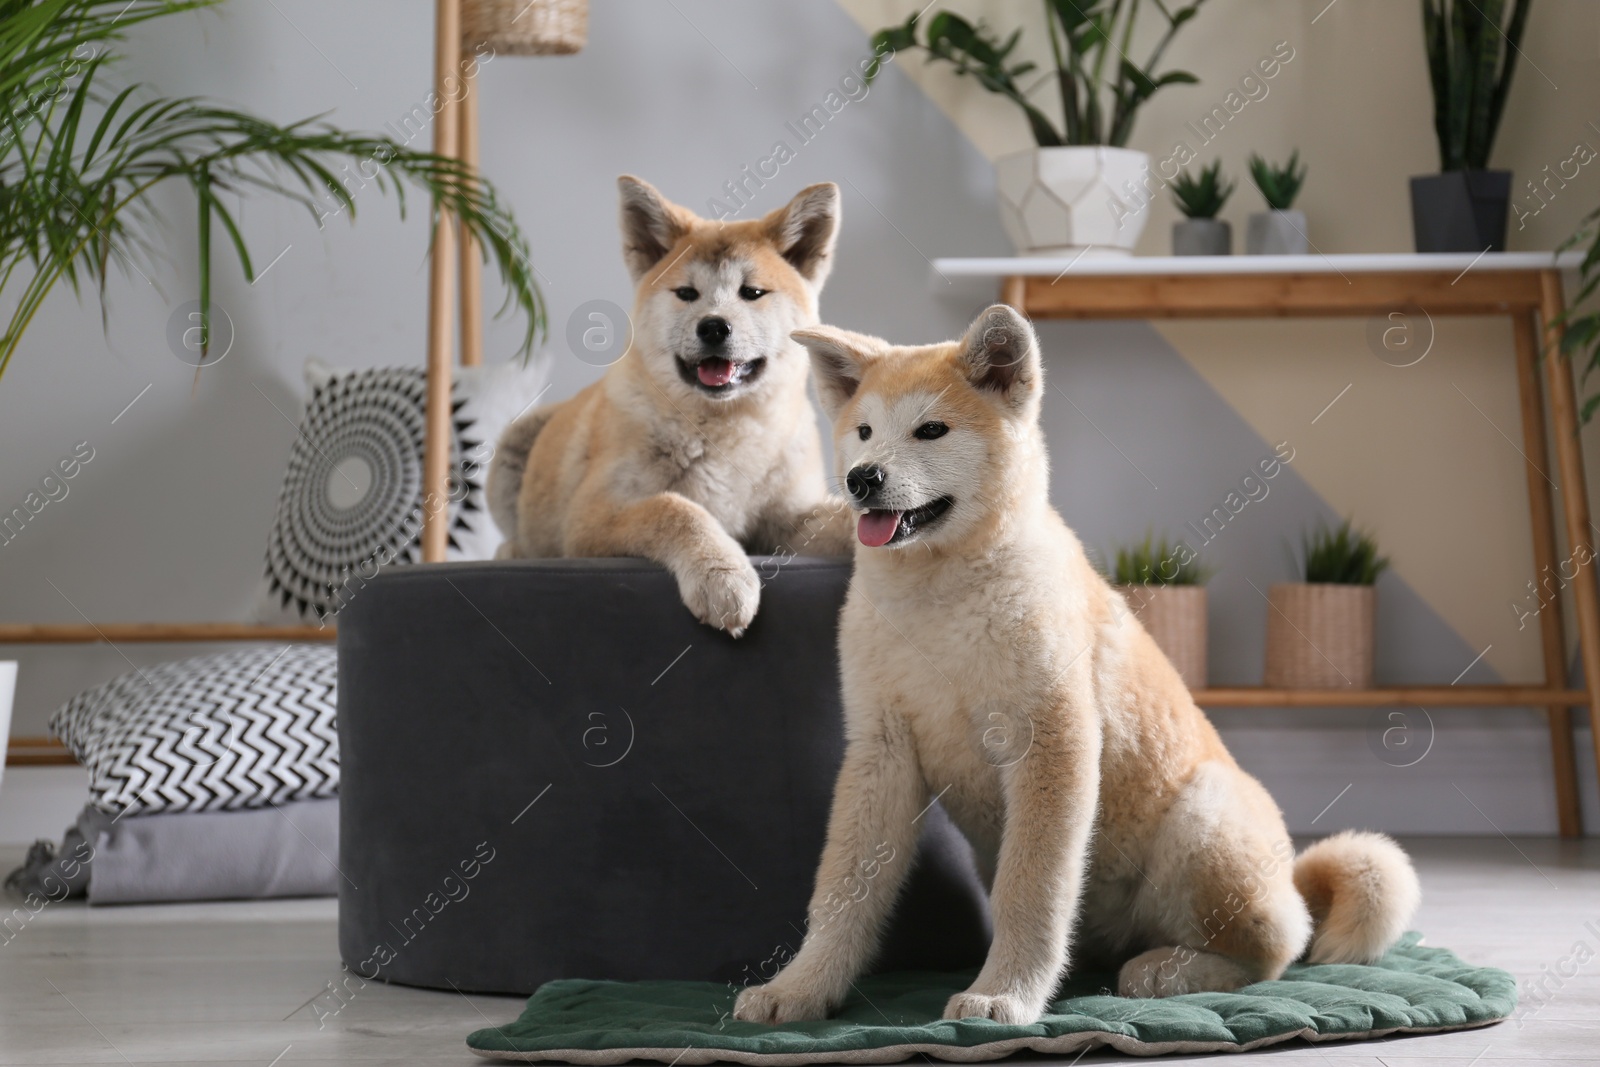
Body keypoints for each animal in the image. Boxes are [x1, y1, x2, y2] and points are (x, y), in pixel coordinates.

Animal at [486, 177, 857, 633]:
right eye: (686, 293)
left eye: (752, 293)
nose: (714, 326)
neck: (723, 427)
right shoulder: (591, 516)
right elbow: (675, 508)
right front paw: (722, 576)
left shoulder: (789, 521)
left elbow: (847, 518)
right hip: (515, 445)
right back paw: (513, 551)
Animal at [732, 307, 1420, 1023]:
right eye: (863, 431)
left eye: (931, 430)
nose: (861, 478)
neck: (938, 599)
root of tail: (1290, 877)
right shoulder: (881, 752)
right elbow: (842, 892)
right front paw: (801, 988)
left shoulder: (1050, 743)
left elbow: (1030, 890)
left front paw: (1003, 994)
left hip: (1203, 818)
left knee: (1277, 949)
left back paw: (1166, 970)